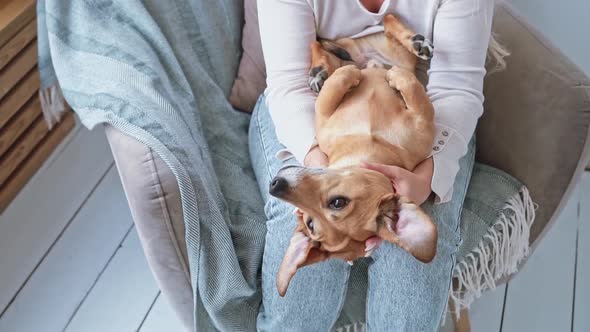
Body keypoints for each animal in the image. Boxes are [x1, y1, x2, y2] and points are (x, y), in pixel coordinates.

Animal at [270, 14, 438, 296]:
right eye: (310, 223)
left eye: (338, 202)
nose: (275, 185)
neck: (368, 143)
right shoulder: (324, 115)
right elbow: (337, 84)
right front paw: (347, 75)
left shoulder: (423, 125)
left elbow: (410, 87)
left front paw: (387, 75)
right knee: (321, 47)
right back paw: (322, 70)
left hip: (394, 52)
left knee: (388, 22)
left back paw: (414, 43)